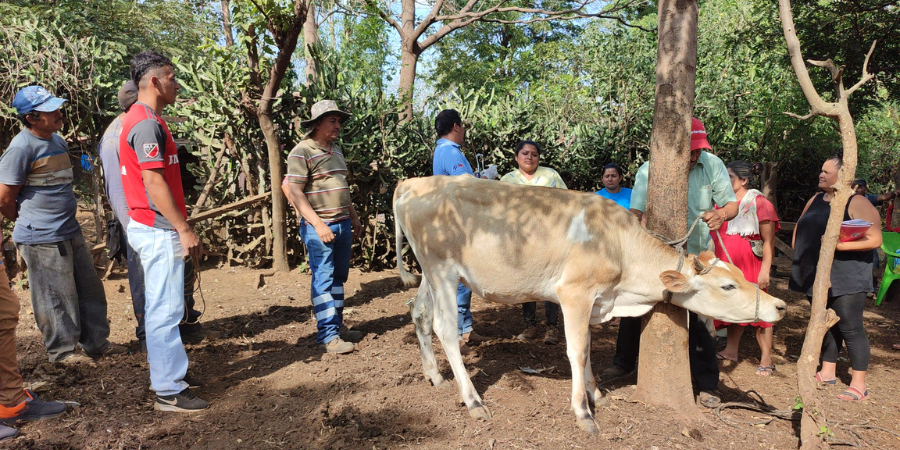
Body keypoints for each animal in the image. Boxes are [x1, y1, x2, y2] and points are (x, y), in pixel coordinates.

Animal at [390, 175, 784, 432]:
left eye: (740, 275)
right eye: (728, 285)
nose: (778, 306)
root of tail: (411, 183)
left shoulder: (595, 300)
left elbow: (590, 347)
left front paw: (597, 393)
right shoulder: (574, 293)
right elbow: (577, 351)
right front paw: (583, 412)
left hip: (429, 273)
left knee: (418, 313)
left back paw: (435, 376)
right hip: (443, 271)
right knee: (444, 329)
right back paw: (473, 400)